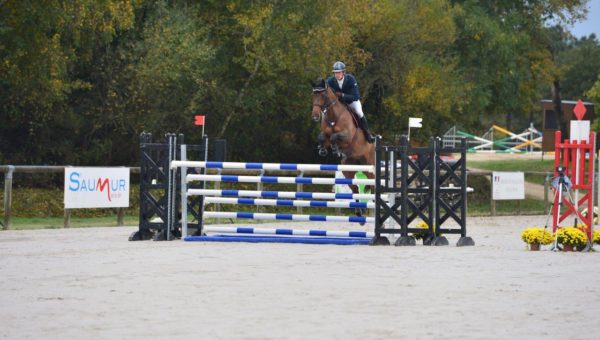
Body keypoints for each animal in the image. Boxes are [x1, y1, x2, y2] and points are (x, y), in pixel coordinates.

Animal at [310, 78, 376, 218]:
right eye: (313, 95)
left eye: (323, 95)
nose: (315, 116)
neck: (333, 117)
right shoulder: (325, 134)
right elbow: (322, 137)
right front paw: (322, 150)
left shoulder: (348, 137)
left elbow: (335, 136)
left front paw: (335, 150)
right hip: (348, 168)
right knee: (355, 188)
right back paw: (358, 211)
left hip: (369, 167)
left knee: (373, 186)